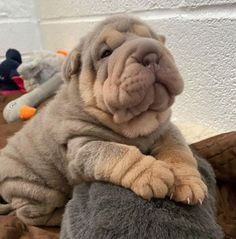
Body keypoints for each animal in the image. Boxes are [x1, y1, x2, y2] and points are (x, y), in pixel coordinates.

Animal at [0, 16, 206, 226]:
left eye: (153, 39)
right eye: (106, 53)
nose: (150, 52)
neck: (137, 120)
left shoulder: (166, 129)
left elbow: (178, 151)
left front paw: (188, 182)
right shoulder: (82, 145)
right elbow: (116, 151)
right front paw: (151, 172)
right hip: (34, 190)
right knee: (30, 215)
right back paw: (60, 214)